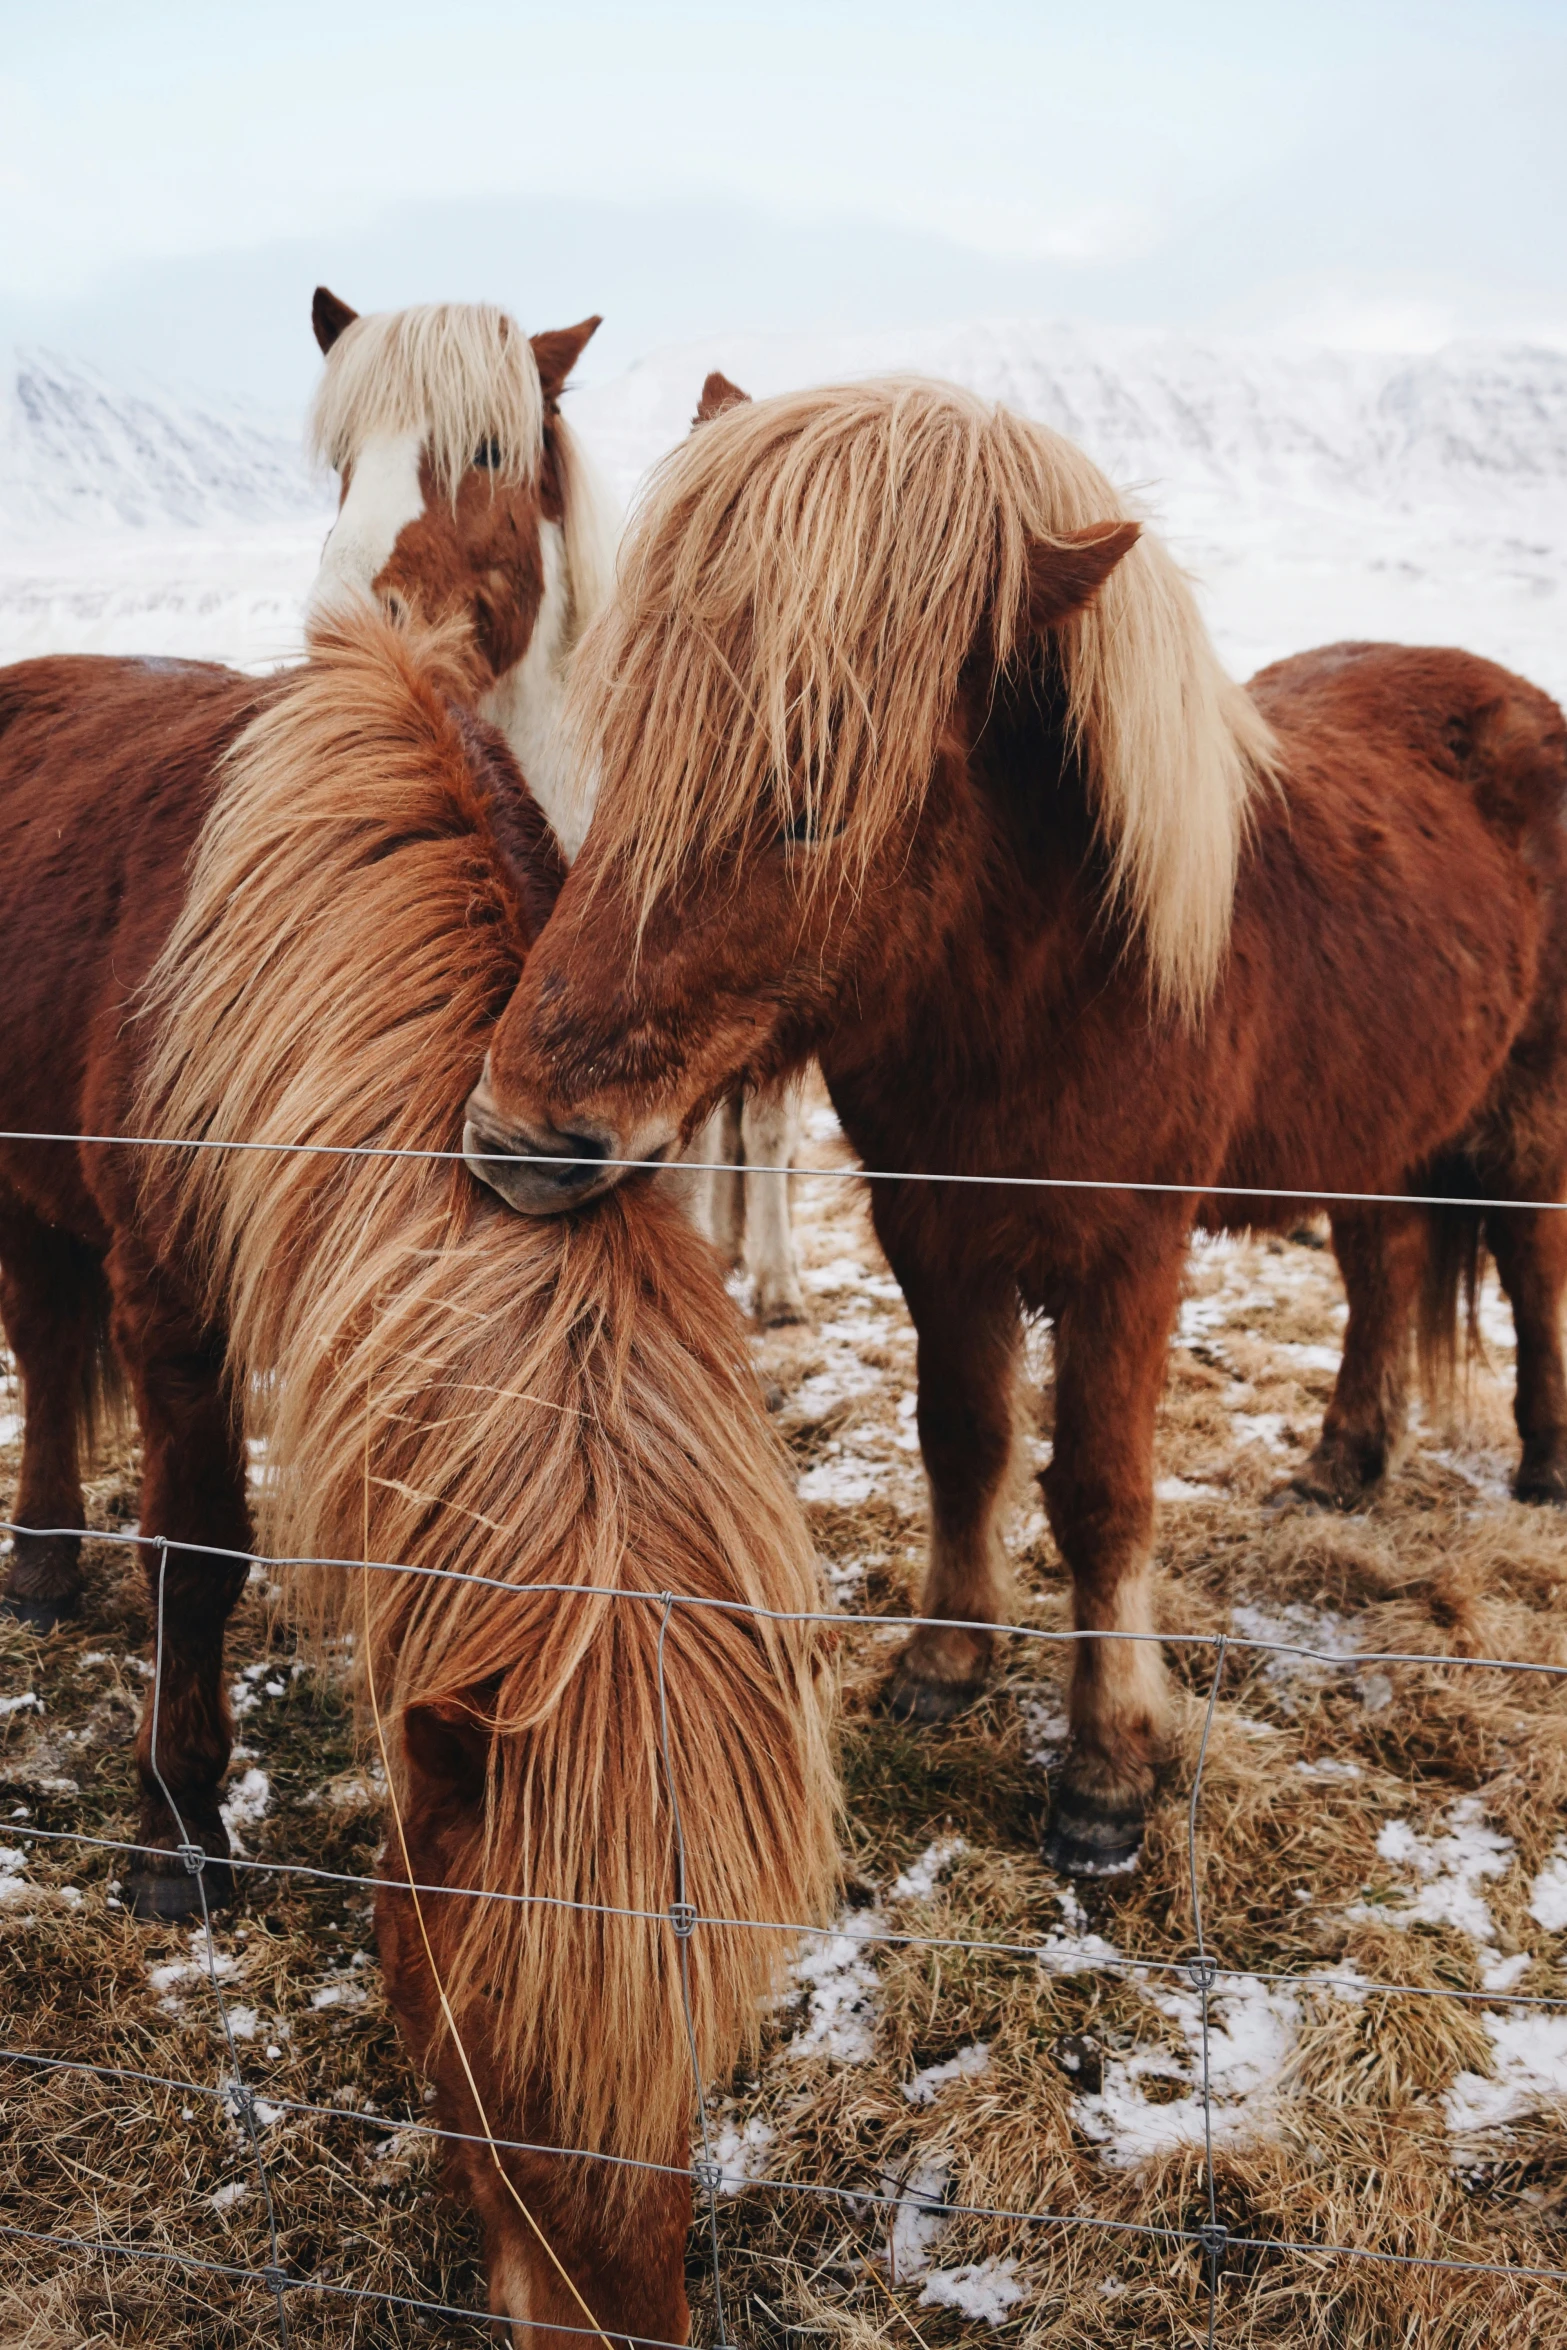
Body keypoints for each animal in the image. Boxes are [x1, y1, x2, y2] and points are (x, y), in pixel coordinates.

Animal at [12, 601, 841, 2331]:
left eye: (706, 2045)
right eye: (496, 2038)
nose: (620, 2338)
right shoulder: (167, 1294)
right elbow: (199, 1550)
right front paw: (176, 1844)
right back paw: (44, 1555)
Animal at [472, 376, 1567, 1879]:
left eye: (816, 801)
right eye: (632, 738)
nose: (518, 1138)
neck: (1042, 980)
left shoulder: (1128, 1258)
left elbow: (1100, 1495)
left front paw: (1106, 1768)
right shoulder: (929, 1228)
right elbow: (963, 1436)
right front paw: (945, 1658)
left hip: (1522, 1116)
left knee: (1528, 1263)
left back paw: (1541, 1460)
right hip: (1372, 1130)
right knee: (1377, 1270)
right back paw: (1340, 1464)